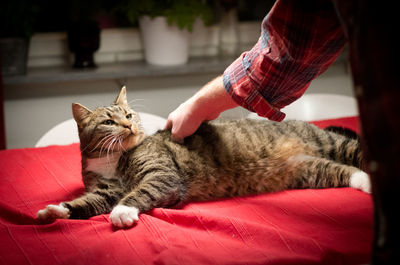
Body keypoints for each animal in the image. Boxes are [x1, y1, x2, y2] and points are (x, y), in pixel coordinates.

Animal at [36, 86, 370, 227]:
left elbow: (140, 191)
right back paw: (365, 182)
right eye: (108, 121)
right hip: (309, 171)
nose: (129, 125)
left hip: (332, 143)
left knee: (357, 152)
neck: (111, 159)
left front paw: (122, 212)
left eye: (129, 115)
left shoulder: (163, 175)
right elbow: (85, 202)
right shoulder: (105, 190)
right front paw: (55, 211)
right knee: (344, 171)